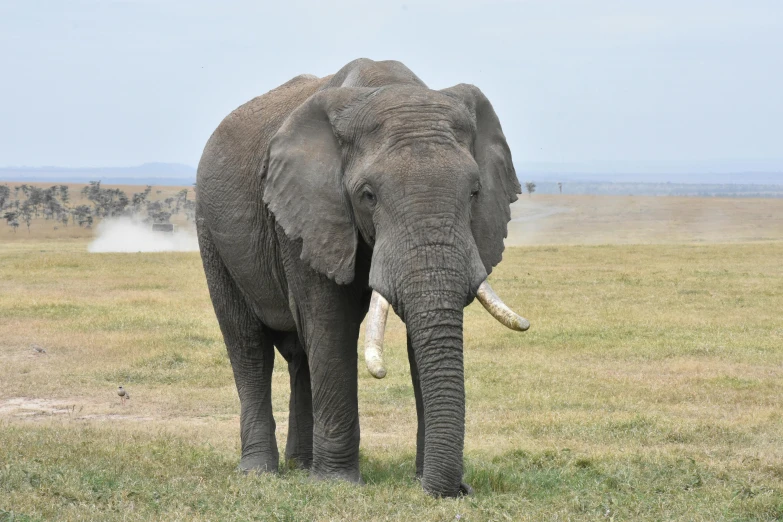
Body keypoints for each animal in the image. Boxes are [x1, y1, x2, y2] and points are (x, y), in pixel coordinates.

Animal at [194, 58, 532, 496]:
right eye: (368, 195)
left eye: (475, 192)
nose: (460, 490)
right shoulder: (308, 213)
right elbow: (330, 325)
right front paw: (338, 484)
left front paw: (425, 481)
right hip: (210, 230)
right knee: (248, 345)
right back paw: (259, 472)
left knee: (300, 355)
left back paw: (301, 466)